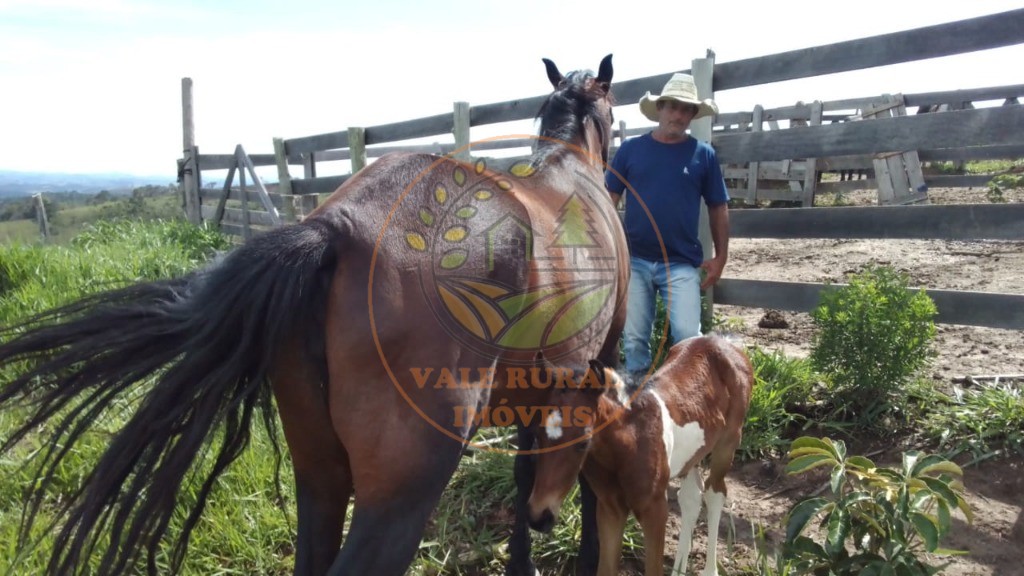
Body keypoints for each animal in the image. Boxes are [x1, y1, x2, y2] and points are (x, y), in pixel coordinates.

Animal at [528, 334, 753, 573]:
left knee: (714, 493)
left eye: (583, 443)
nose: (538, 517)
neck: (627, 446)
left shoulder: (655, 509)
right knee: (691, 498)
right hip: (694, 455)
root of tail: (722, 340)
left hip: (727, 445)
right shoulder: (609, 508)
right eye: (538, 436)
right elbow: (606, 568)